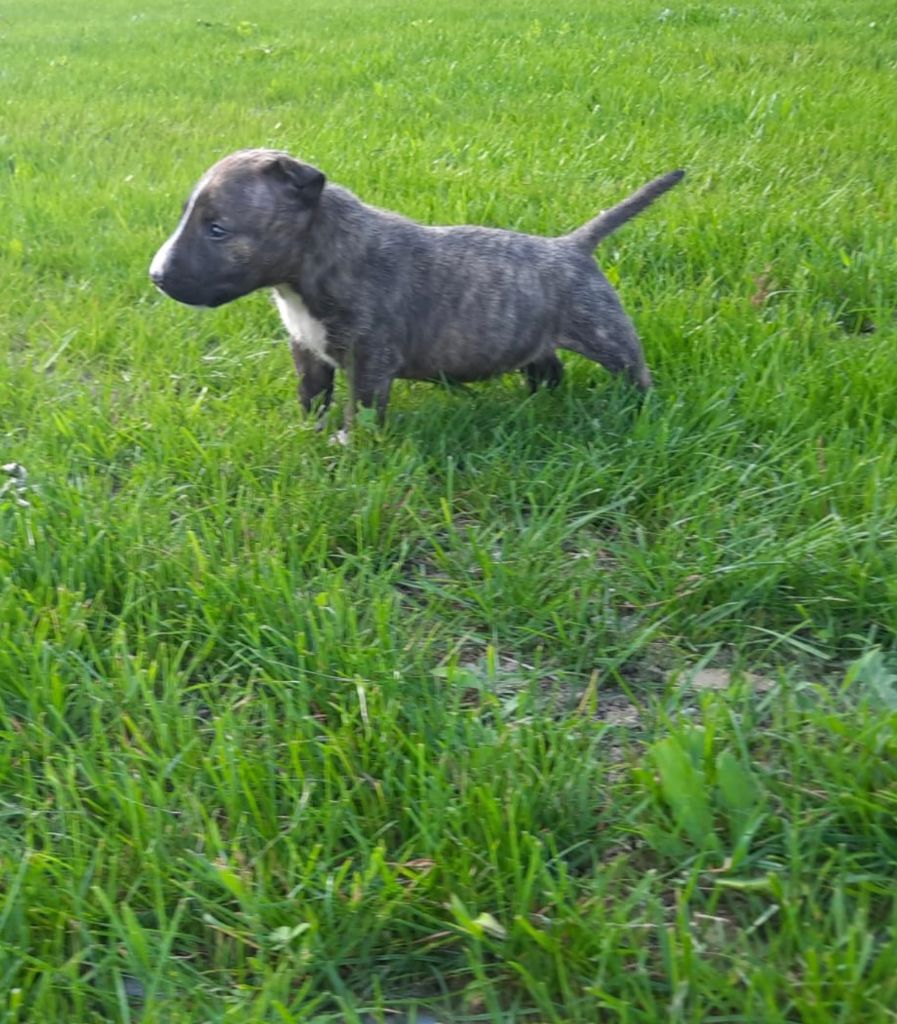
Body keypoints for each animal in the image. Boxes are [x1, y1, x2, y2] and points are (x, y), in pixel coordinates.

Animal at [150, 149, 683, 428]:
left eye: (217, 229)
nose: (155, 276)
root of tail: (573, 245)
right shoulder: (306, 349)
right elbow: (312, 395)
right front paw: (308, 431)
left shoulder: (370, 358)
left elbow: (361, 410)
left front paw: (347, 448)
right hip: (532, 337)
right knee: (547, 368)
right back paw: (538, 404)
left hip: (605, 332)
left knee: (633, 371)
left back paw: (642, 410)